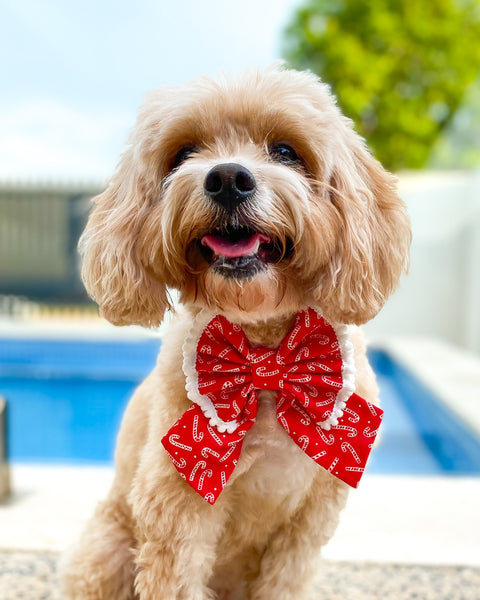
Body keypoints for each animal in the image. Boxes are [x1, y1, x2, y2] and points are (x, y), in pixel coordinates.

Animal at [62, 65, 410, 600]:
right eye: (184, 153)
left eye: (285, 151)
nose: (227, 178)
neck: (264, 350)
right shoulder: (178, 508)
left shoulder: (306, 525)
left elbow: (286, 580)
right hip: (107, 550)